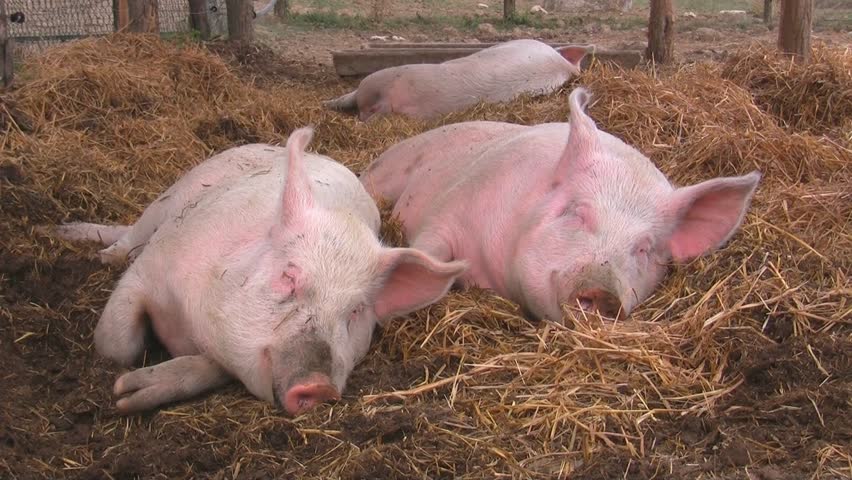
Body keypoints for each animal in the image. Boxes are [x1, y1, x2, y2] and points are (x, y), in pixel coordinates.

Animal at [55, 127, 467, 416]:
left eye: (355, 311)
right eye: (289, 277)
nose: (318, 386)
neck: (191, 330)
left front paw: (137, 391)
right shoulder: (151, 268)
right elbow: (117, 344)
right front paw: (122, 394)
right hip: (169, 198)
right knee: (130, 236)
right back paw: (87, 244)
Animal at [359, 87, 761, 322]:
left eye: (645, 248)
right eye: (576, 212)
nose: (603, 289)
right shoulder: (451, 208)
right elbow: (430, 250)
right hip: (387, 172)